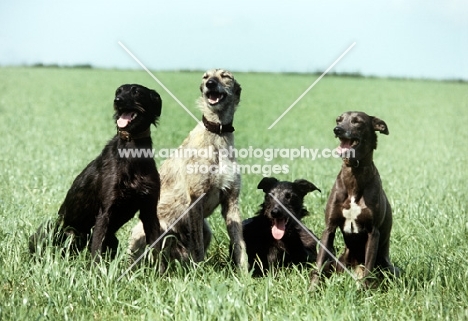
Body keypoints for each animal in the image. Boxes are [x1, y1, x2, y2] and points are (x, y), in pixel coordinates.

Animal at [28, 84, 163, 262]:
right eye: (118, 91)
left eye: (136, 92)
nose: (117, 101)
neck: (133, 151)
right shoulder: (105, 211)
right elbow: (96, 252)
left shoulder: (149, 211)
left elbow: (156, 250)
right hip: (53, 229)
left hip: (111, 240)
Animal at [314, 111, 398, 286]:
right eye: (338, 120)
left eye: (357, 122)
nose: (337, 129)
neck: (354, 174)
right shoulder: (329, 228)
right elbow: (318, 266)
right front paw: (311, 290)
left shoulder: (373, 232)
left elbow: (368, 271)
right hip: (337, 262)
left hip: (390, 268)